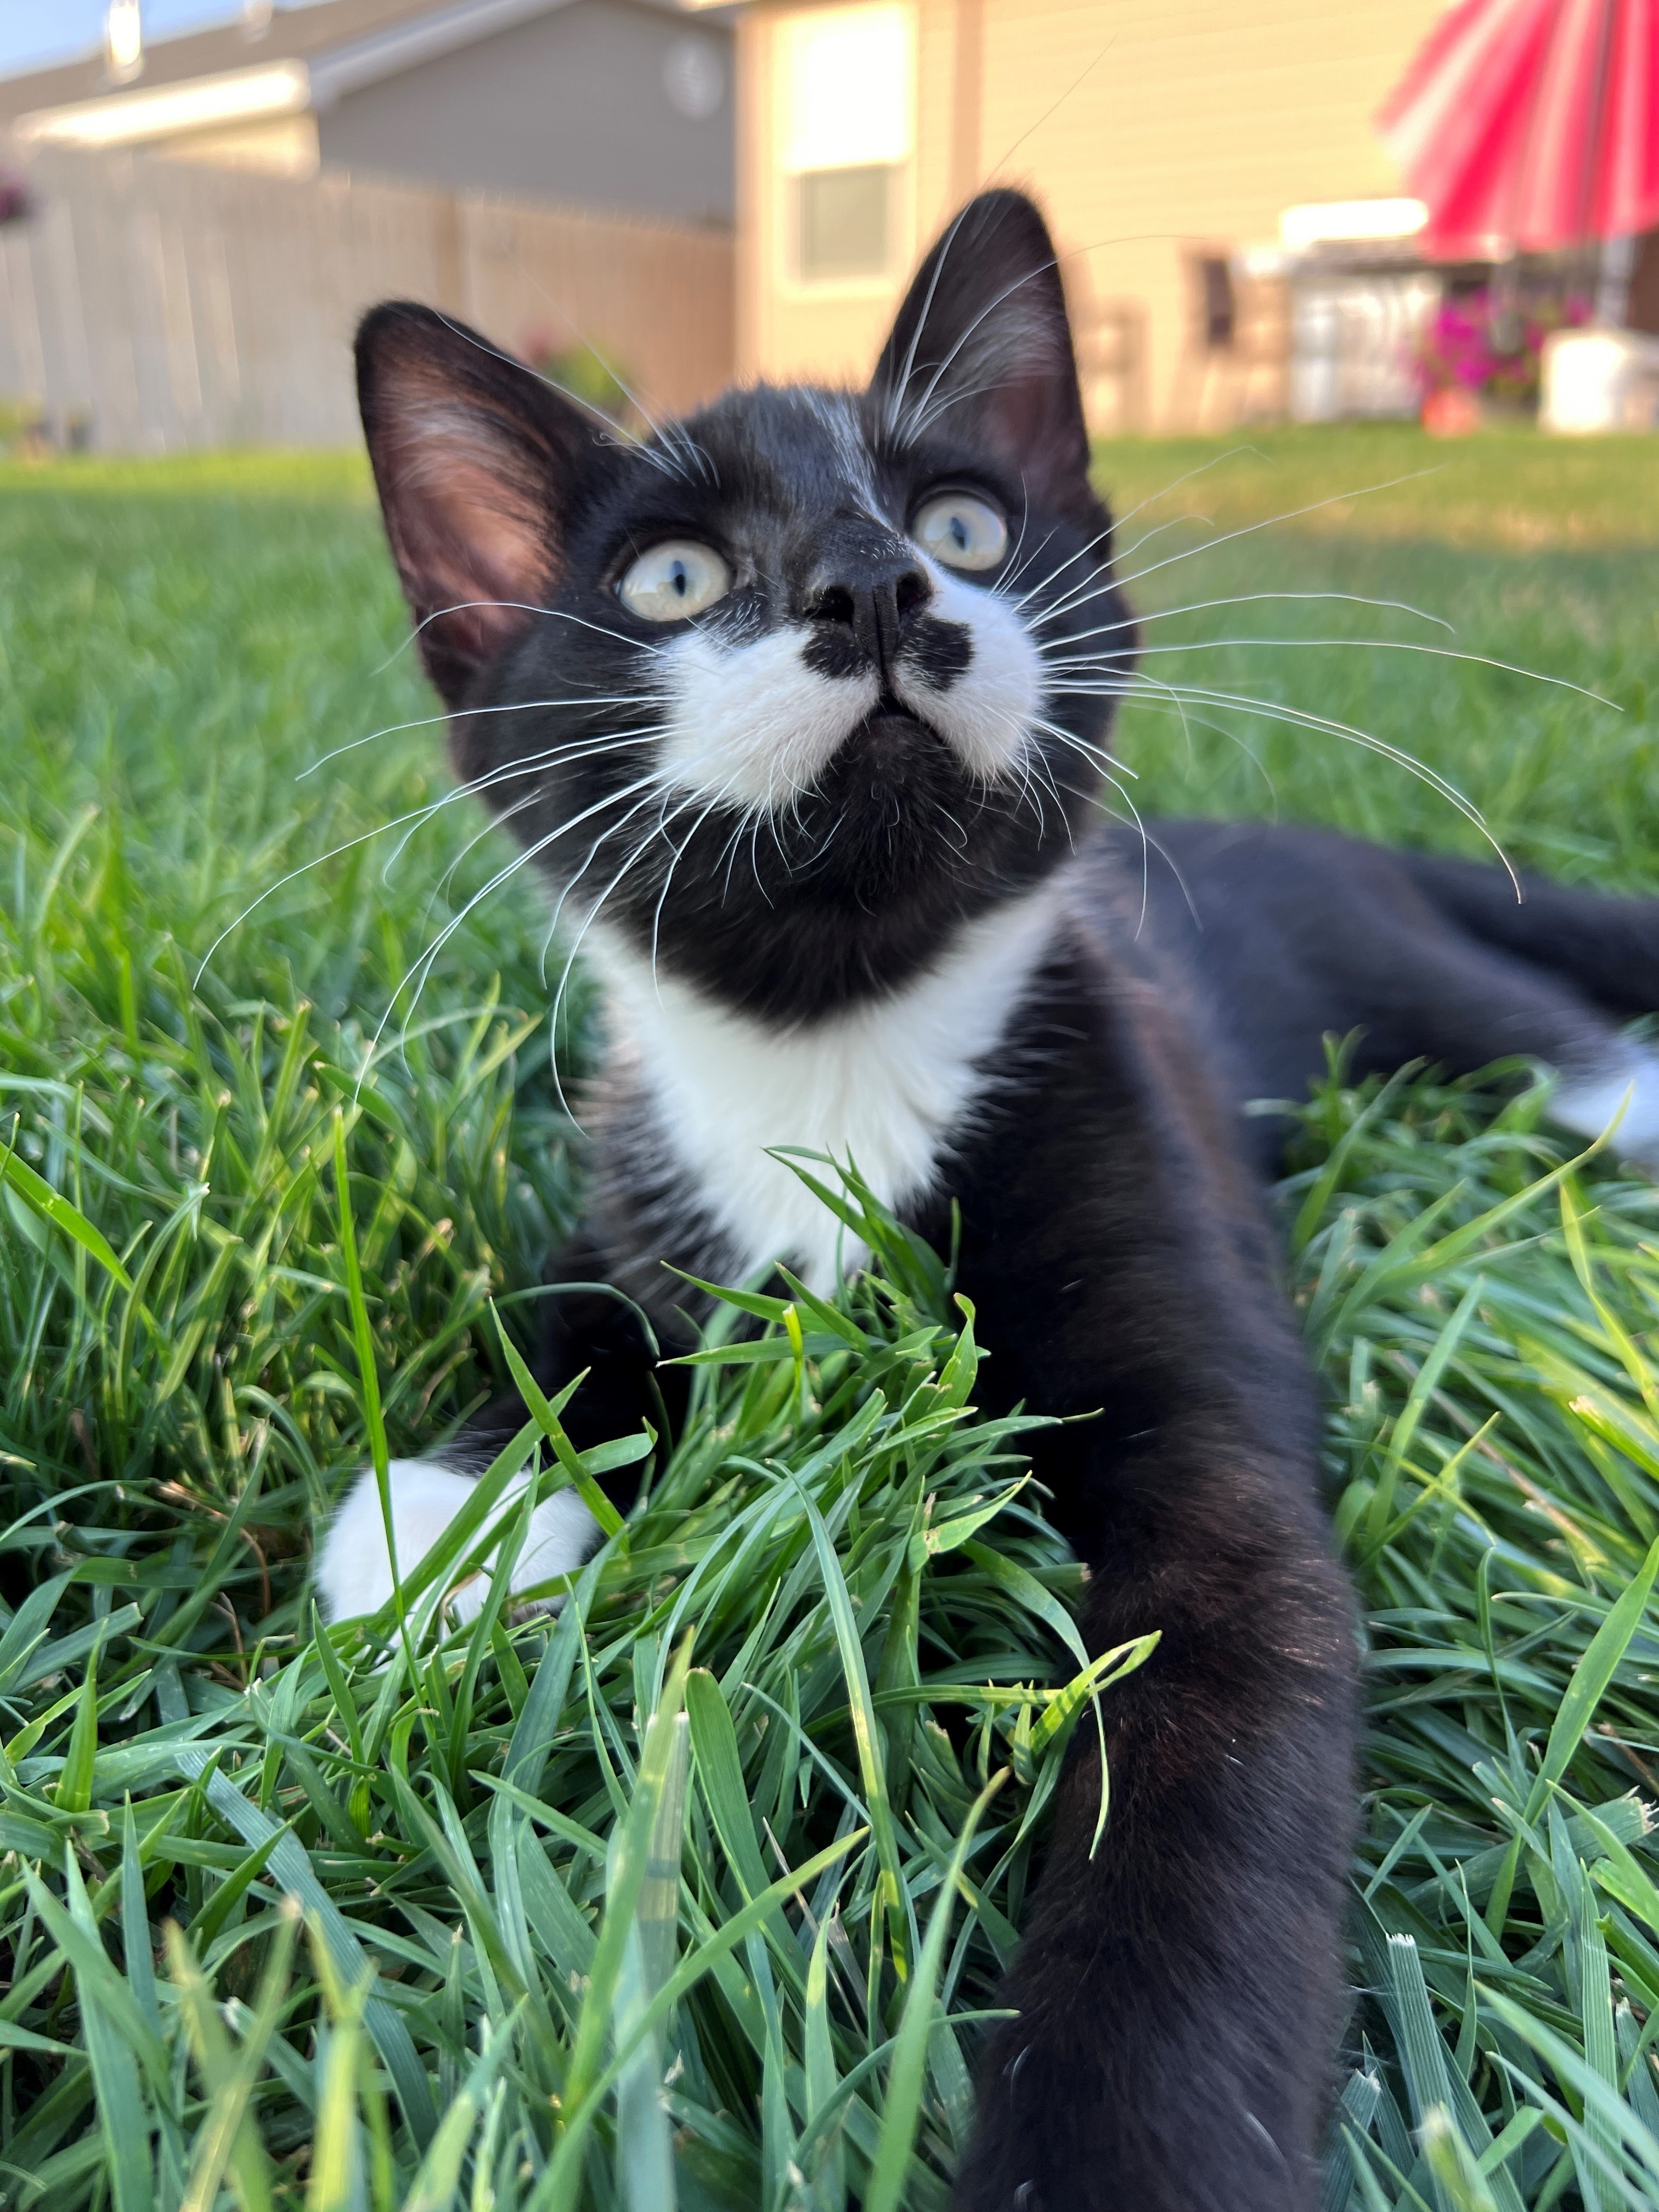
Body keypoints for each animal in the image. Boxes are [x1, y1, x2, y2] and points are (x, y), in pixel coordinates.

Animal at [318, 194, 1659, 2212]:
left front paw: (1115, 2147)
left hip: (1438, 1005)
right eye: (669, 579)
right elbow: (573, 1291)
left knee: (1580, 1053)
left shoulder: (1150, 1197)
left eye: (959, 522)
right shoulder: (647, 1164)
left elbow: (1216, 1731)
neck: (843, 1054)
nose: (875, 590)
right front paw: (444, 1517)